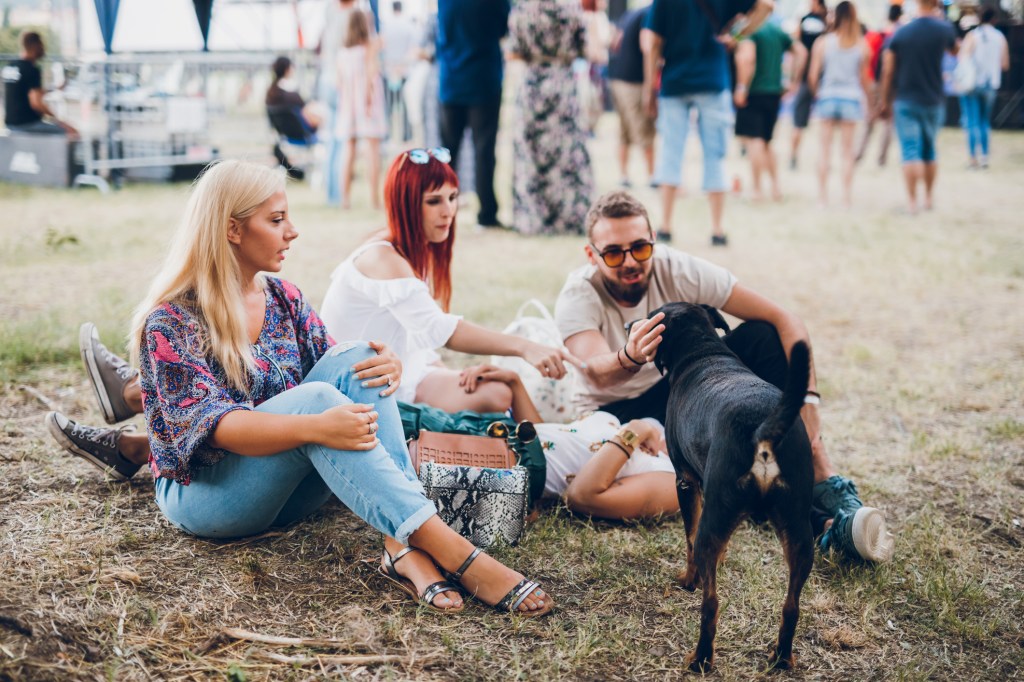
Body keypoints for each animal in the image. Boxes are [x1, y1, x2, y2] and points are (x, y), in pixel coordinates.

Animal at [655, 301, 815, 667]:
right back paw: (781, 658)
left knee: (711, 605)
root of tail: (764, 429)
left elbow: (689, 539)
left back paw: (700, 660)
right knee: (792, 606)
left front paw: (689, 580)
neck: (702, 350)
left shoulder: (686, 482)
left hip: (716, 519)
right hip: (799, 533)